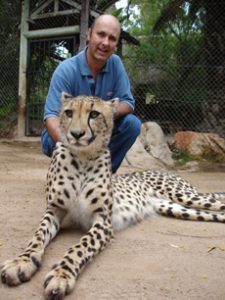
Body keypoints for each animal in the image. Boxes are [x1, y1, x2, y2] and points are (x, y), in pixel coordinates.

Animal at [1, 92, 225, 298]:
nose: (76, 134)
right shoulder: (55, 209)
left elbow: (80, 247)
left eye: (94, 114)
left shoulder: (103, 220)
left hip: (186, 196)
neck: (82, 159)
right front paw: (22, 261)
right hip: (177, 208)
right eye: (69, 112)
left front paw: (61, 274)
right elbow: (37, 236)